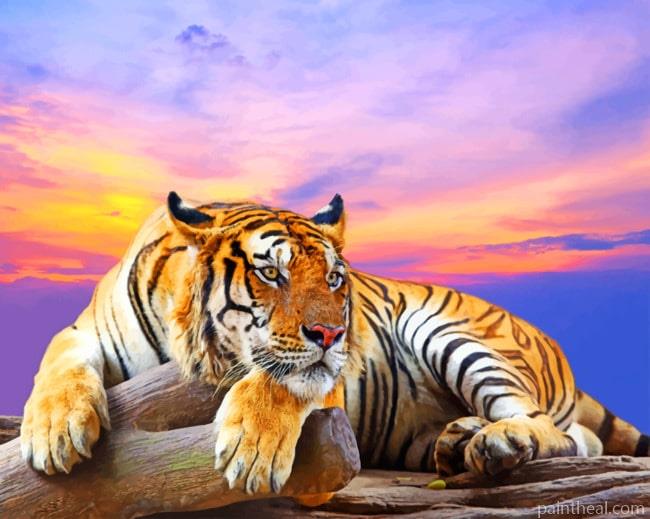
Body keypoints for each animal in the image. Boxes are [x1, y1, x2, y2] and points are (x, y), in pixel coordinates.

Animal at [21, 192, 649, 503]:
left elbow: (280, 380)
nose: (331, 335)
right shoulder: (84, 331)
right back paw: (459, 441)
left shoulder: (324, 377)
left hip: (451, 332)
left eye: (333, 279)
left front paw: (251, 452)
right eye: (270, 273)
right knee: (581, 438)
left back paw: (498, 442)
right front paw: (54, 433)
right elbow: (56, 359)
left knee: (558, 431)